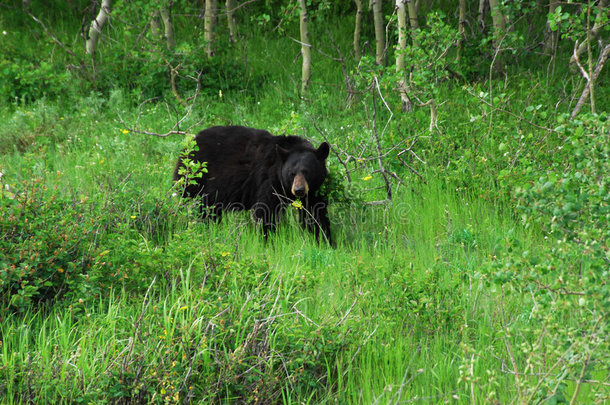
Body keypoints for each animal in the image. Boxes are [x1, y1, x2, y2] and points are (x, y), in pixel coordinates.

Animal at [173, 124, 330, 243]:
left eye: (307, 172)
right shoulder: (269, 180)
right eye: (292, 173)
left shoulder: (314, 190)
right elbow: (266, 211)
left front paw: (324, 240)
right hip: (195, 179)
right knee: (200, 208)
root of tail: (189, 143)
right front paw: (267, 240)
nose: (299, 190)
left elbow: (315, 213)